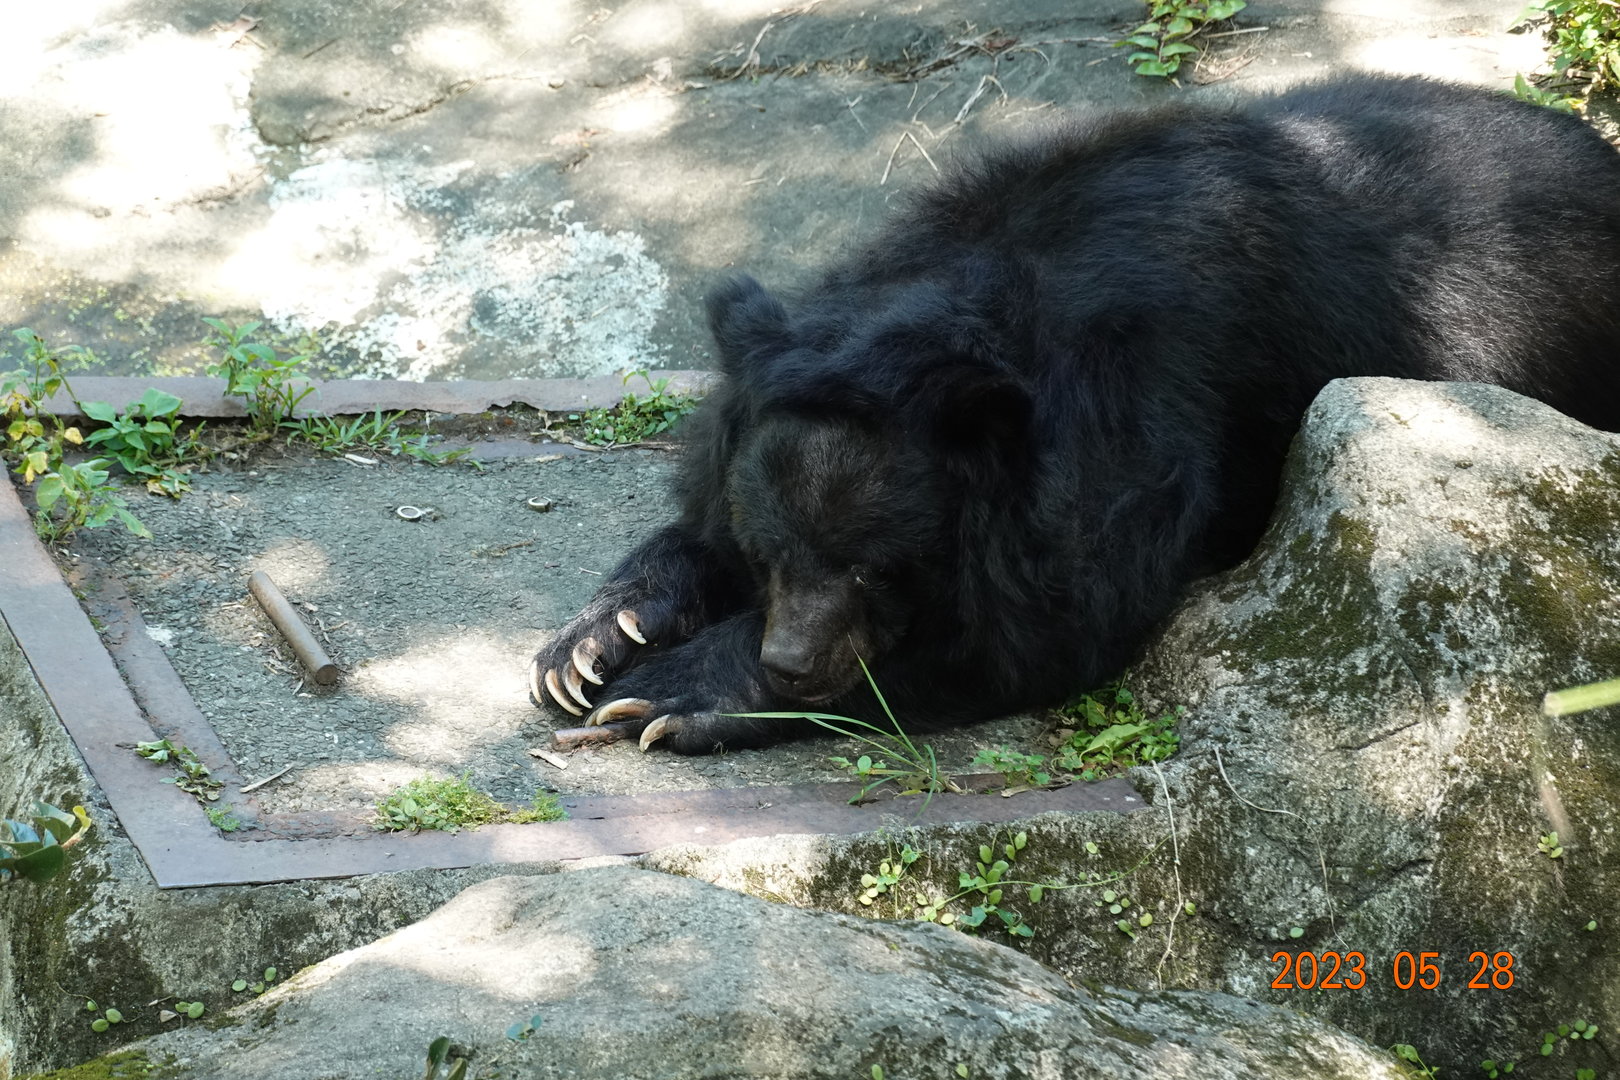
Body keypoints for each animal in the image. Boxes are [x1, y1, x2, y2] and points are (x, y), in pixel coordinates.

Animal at [530, 74, 1620, 755]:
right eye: (769, 556)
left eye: (876, 568)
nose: (791, 663)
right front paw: (588, 648)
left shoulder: (1149, 417)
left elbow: (1033, 629)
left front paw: (671, 693)